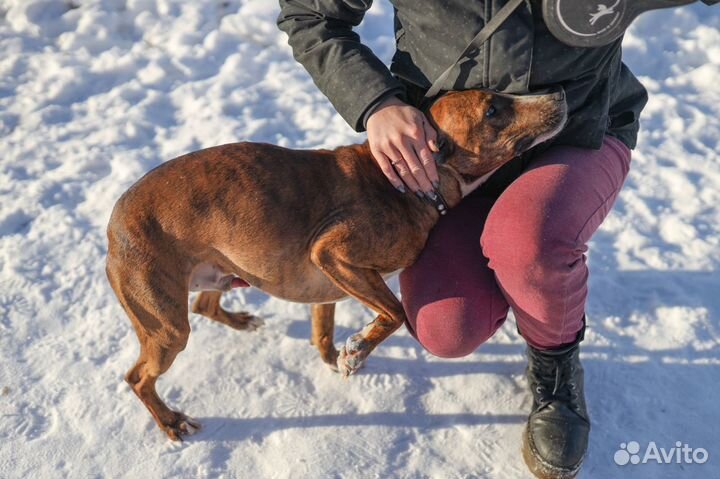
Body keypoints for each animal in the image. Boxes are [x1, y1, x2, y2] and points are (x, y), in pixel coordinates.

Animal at [107, 88, 568, 440]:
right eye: (492, 109)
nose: (560, 94)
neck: (409, 182)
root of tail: (113, 225)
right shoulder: (333, 253)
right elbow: (395, 312)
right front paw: (359, 349)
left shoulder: (327, 282)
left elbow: (324, 331)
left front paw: (340, 357)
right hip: (167, 328)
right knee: (138, 378)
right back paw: (171, 422)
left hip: (214, 277)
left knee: (203, 305)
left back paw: (241, 322)